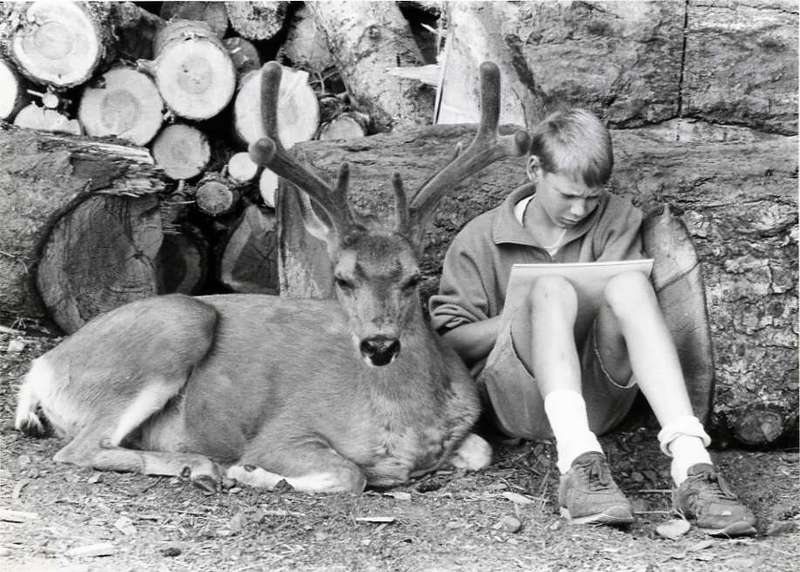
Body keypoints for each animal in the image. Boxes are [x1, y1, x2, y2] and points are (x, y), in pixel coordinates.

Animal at [14, 61, 530, 493]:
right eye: (342, 279)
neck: (404, 427)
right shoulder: (284, 430)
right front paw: (249, 471)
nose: (380, 346)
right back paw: (201, 465)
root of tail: (43, 368)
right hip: (178, 323)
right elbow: (350, 474)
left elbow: (480, 450)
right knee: (79, 449)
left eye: (414, 277)